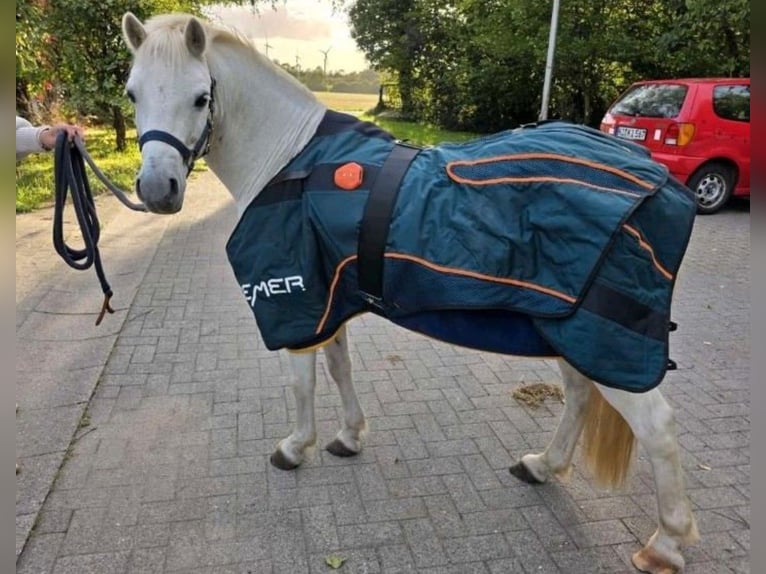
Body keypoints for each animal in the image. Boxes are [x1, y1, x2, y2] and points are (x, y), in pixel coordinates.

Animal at [120, 13, 699, 573]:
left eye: (201, 97)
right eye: (132, 93)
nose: (157, 191)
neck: (287, 160)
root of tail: (665, 184)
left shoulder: (296, 301)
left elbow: (302, 383)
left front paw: (294, 447)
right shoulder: (330, 300)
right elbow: (339, 368)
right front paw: (349, 436)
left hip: (604, 339)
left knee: (658, 427)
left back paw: (665, 544)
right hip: (569, 332)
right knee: (579, 395)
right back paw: (542, 466)